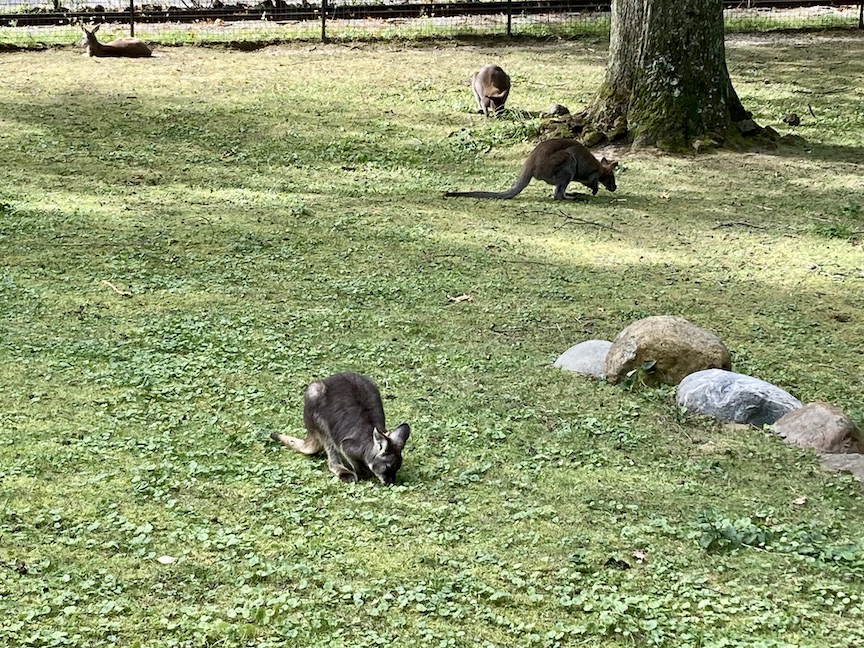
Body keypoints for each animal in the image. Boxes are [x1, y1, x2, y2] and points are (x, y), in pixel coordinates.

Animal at [272, 372, 410, 484]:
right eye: (387, 468)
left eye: (397, 468)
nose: (390, 483)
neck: (368, 444)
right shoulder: (346, 445)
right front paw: (362, 474)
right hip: (317, 410)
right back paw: (345, 473)